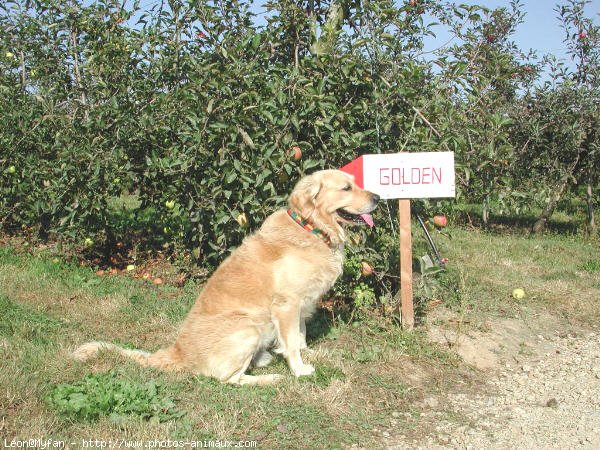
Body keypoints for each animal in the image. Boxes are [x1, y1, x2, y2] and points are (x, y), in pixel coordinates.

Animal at [71, 169, 380, 384]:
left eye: (355, 183)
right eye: (346, 188)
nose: (377, 197)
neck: (311, 228)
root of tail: (178, 351)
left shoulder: (304, 303)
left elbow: (299, 337)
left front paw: (311, 354)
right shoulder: (287, 304)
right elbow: (292, 343)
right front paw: (299, 369)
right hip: (248, 327)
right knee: (228, 379)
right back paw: (270, 378)